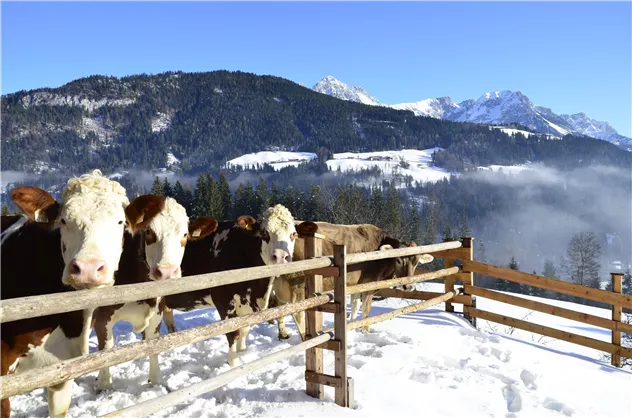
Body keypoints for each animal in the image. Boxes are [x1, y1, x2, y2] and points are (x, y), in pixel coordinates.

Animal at [2, 171, 189, 418]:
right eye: (63, 221)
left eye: (120, 222)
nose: (88, 269)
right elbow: (106, 349)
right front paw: (104, 386)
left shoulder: (60, 369)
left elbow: (152, 344)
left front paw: (156, 382)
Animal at [95, 205, 298, 392]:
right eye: (264, 232)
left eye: (293, 234)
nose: (281, 257)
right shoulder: (223, 299)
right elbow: (233, 333)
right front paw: (233, 365)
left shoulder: (245, 303)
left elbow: (245, 329)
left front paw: (243, 352)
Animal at [268, 220, 424, 338]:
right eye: (399, 260)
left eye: (416, 262)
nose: (409, 287)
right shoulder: (369, 284)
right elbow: (366, 309)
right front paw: (365, 330)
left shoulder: (355, 284)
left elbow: (355, 306)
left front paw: (352, 326)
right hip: (297, 285)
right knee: (297, 313)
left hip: (281, 285)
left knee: (278, 306)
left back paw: (283, 334)